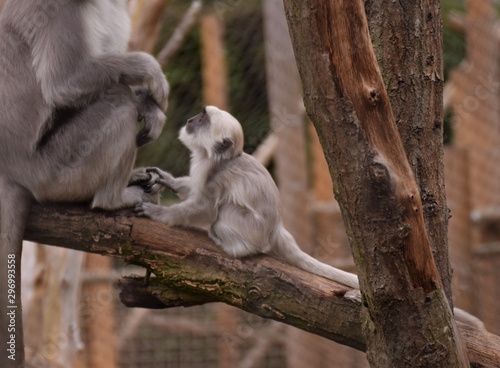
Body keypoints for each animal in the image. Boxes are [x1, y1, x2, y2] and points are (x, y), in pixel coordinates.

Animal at [0, 0, 168, 364]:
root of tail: (11, 169)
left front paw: (150, 106)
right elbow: (65, 84)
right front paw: (149, 71)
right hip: (55, 168)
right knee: (117, 100)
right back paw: (113, 199)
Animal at [137, 106, 360, 290]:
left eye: (201, 119)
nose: (191, 120)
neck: (223, 159)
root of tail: (276, 228)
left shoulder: (217, 176)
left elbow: (203, 208)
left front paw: (156, 212)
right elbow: (192, 189)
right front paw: (166, 180)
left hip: (253, 230)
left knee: (223, 212)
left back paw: (235, 248)